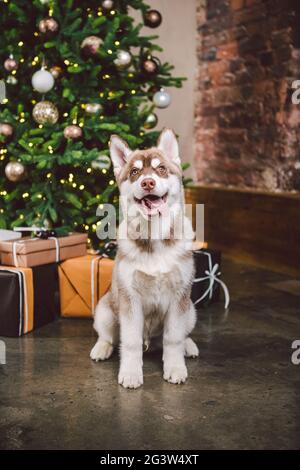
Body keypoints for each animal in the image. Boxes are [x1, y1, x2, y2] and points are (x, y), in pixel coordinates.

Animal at [91, 126, 199, 388]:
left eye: (161, 169)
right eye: (135, 171)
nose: (148, 182)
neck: (155, 238)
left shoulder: (179, 297)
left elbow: (173, 338)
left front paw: (175, 367)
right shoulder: (130, 299)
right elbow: (129, 342)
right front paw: (130, 372)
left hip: (191, 310)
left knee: (181, 334)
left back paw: (189, 345)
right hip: (105, 309)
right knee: (108, 335)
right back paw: (101, 348)